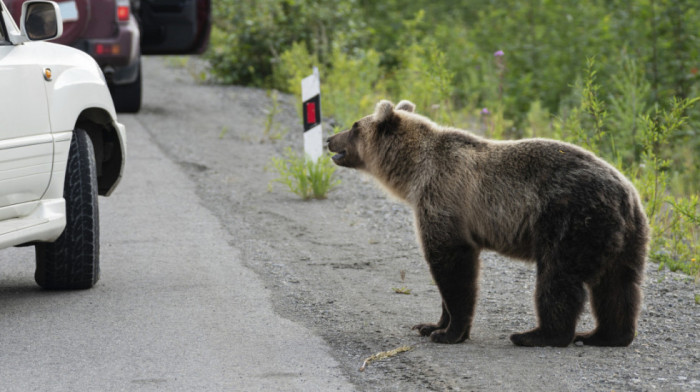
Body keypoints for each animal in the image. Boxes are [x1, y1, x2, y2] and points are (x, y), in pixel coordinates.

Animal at [328, 99, 652, 348]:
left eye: (355, 126)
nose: (330, 139)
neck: (414, 172)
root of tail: (627, 194)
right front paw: (430, 325)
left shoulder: (444, 198)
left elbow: (453, 269)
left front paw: (449, 333)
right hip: (626, 236)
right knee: (618, 285)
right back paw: (604, 335)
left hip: (570, 220)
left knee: (558, 279)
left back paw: (535, 335)